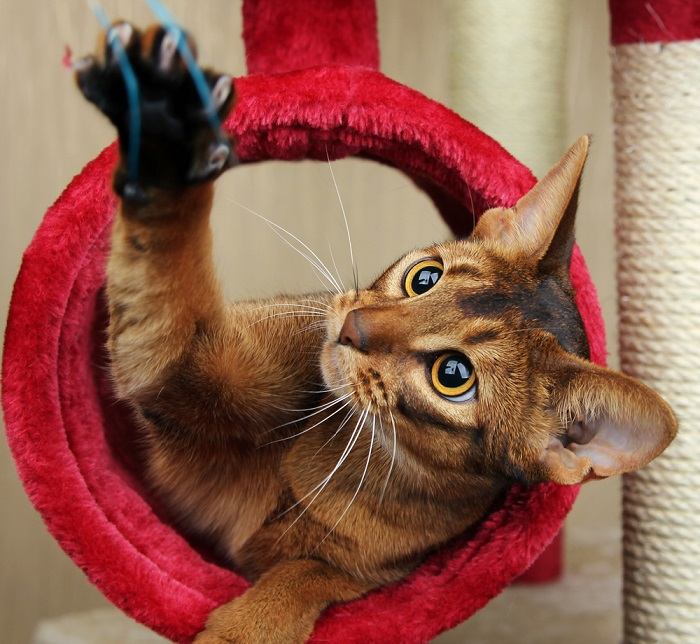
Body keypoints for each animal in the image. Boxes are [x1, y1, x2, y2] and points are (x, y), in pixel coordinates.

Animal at [75, 21, 680, 644]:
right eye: (424, 277)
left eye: (453, 374)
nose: (352, 327)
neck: (342, 466)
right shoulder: (188, 366)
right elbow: (171, 280)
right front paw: (162, 119)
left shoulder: (370, 575)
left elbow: (302, 576)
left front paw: (247, 625)